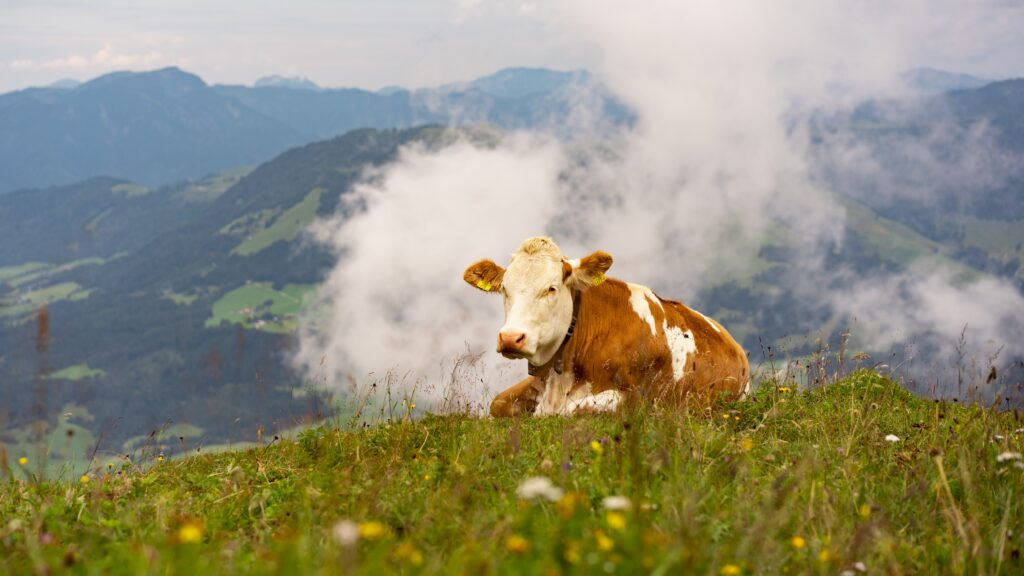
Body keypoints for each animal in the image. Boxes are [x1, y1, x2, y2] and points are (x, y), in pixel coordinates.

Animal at [464, 235, 753, 414]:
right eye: (504, 289)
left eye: (551, 288)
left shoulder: (637, 399)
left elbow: (570, 411)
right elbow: (497, 403)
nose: (511, 338)